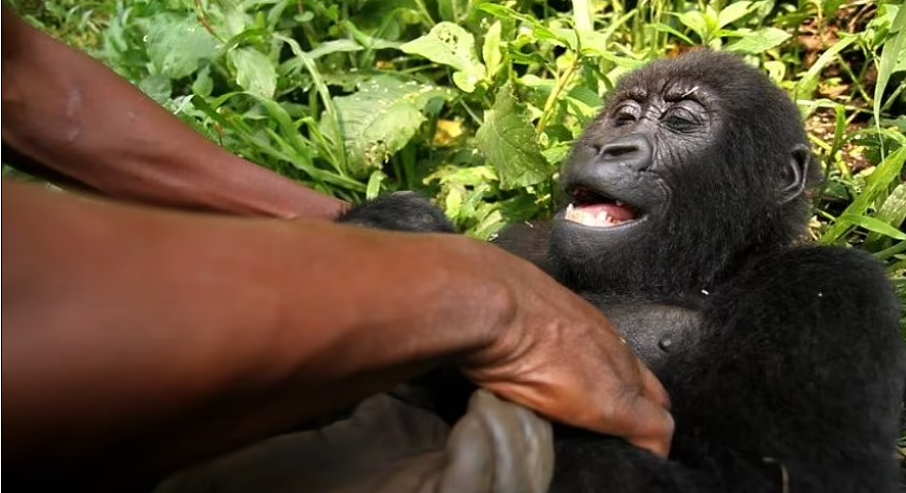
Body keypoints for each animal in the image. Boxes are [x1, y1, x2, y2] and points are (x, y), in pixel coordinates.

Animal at [338, 51, 904, 492]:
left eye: (681, 122)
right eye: (625, 116)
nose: (612, 146)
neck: (696, 270)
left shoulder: (833, 288)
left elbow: (795, 476)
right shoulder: (521, 242)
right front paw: (394, 229)